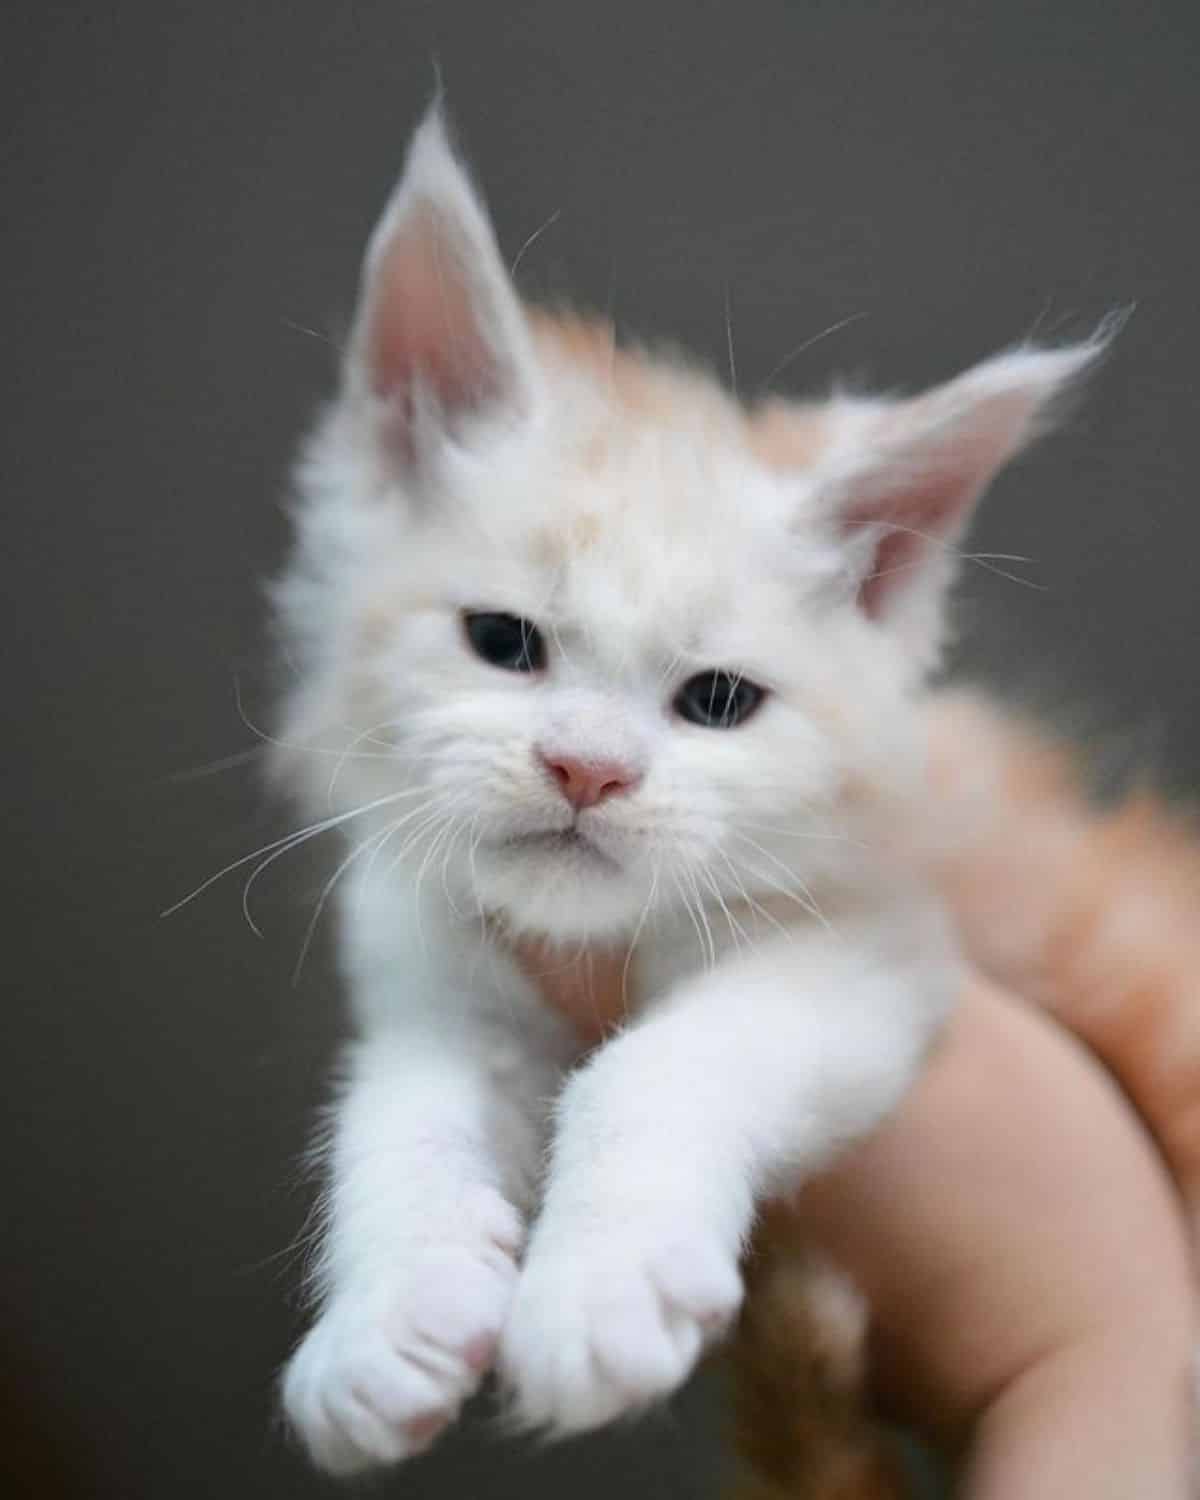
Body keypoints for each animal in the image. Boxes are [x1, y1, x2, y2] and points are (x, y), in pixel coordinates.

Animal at [274, 108, 1104, 1476]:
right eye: (501, 641)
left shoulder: (879, 943)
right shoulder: (432, 972)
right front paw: (382, 1323)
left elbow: (653, 1067)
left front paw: (599, 1292)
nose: (587, 769)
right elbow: (397, 1113)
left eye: (716, 702)